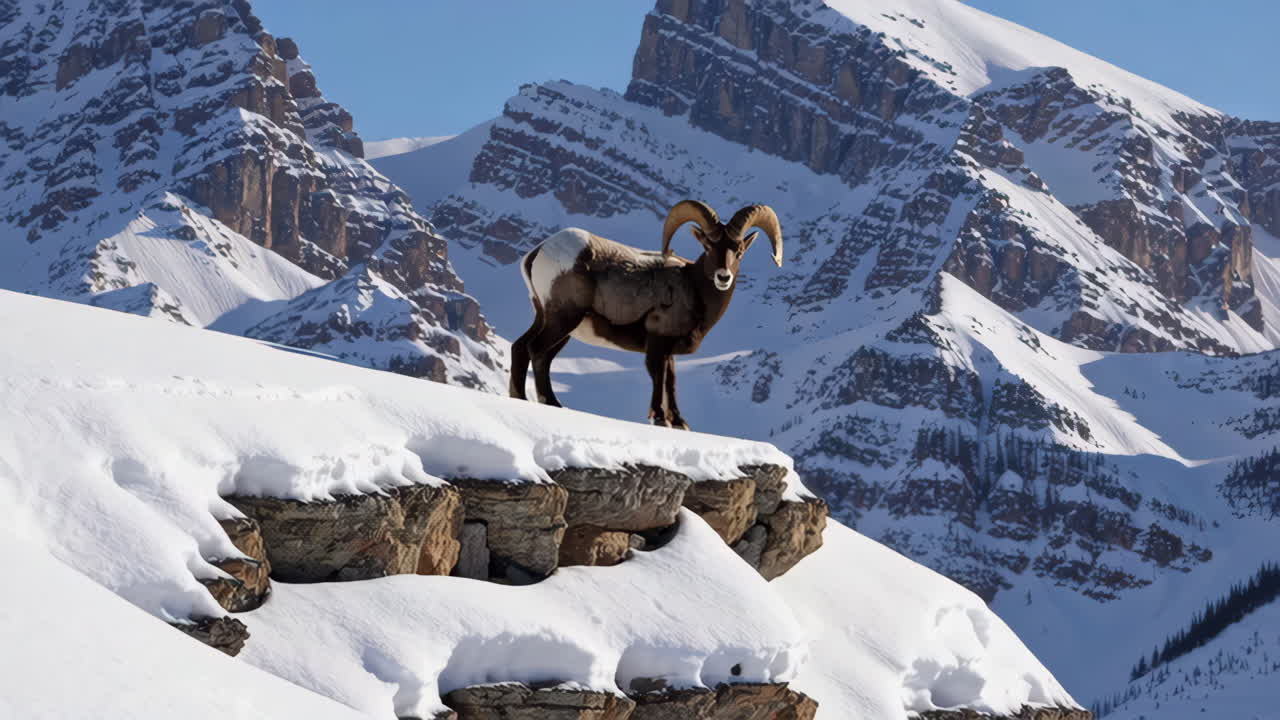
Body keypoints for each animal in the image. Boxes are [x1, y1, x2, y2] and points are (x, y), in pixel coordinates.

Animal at [509, 200, 783, 429]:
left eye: (739, 250)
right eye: (708, 246)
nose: (723, 277)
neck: (693, 288)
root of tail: (537, 253)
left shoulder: (669, 349)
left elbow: (670, 381)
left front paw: (679, 423)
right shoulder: (657, 341)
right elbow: (657, 375)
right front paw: (659, 419)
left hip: (552, 322)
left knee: (523, 348)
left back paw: (528, 399)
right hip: (563, 319)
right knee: (536, 350)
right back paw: (544, 402)